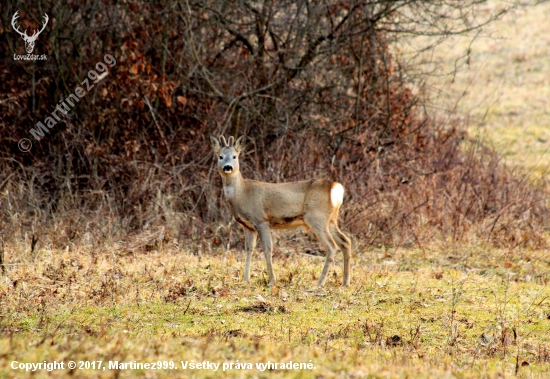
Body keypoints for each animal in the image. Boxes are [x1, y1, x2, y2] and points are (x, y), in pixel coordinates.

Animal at [211, 136, 354, 288]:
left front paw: (271, 281)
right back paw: (345, 282)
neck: (242, 193)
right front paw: (245, 280)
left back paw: (319, 284)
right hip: (331, 219)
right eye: (220, 156)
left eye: (234, 156)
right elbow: (249, 250)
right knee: (345, 242)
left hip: (316, 217)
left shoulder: (261, 220)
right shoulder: (248, 226)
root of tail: (334, 187)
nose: (228, 167)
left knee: (332, 246)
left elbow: (267, 249)